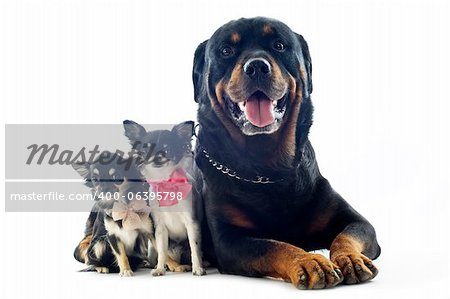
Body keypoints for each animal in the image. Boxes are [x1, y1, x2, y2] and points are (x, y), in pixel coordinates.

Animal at [192, 17, 382, 290]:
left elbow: (348, 235)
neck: (265, 170)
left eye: (279, 45)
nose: (257, 66)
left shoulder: (353, 219)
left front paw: (349, 258)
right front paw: (308, 261)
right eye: (226, 51)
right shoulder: (230, 239)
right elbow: (273, 246)